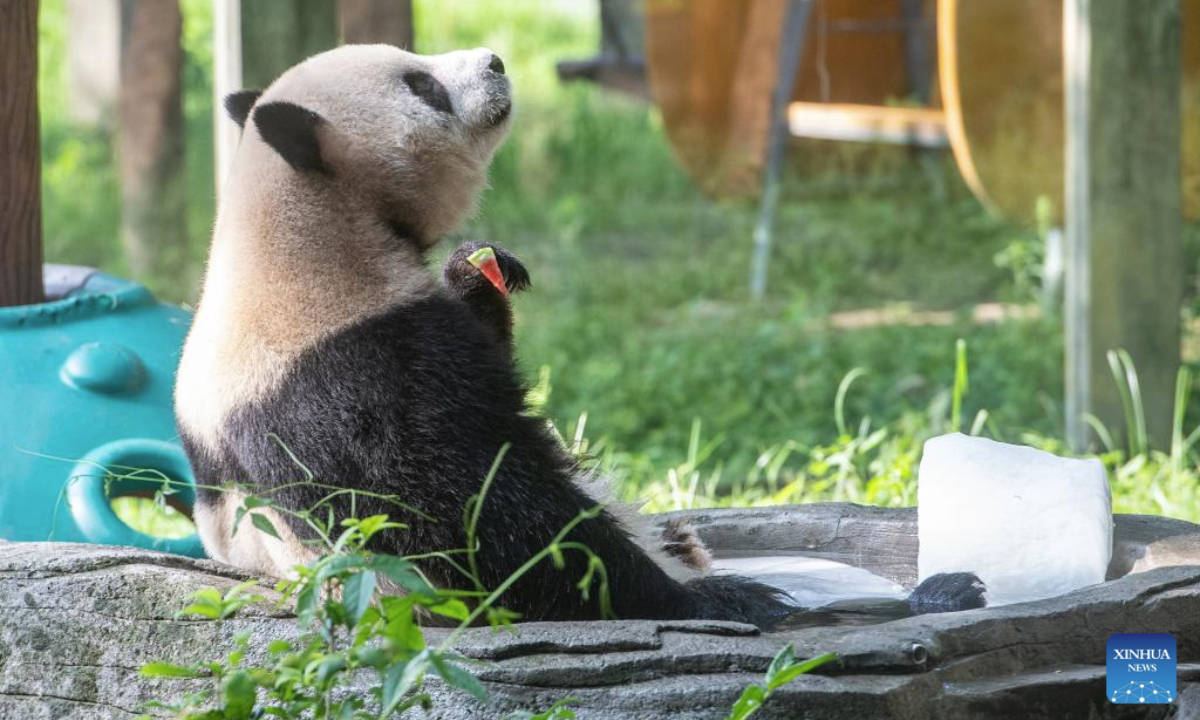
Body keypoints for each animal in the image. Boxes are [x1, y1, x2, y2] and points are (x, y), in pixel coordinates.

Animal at [175, 44, 984, 628]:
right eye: (423, 85)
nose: (496, 62)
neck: (298, 233)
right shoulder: (342, 371)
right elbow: (471, 513)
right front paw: (715, 602)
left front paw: (481, 270)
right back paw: (922, 594)